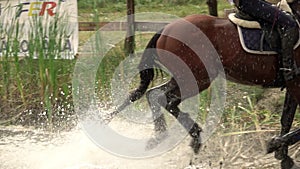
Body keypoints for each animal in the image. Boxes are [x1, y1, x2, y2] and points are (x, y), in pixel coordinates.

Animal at [112, 0, 300, 166]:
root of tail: (167, 28)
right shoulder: (297, 86)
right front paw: (275, 145)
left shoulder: (293, 87)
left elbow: (286, 119)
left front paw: (283, 155)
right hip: (196, 79)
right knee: (165, 99)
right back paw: (192, 136)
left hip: (185, 78)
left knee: (155, 94)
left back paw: (161, 137)